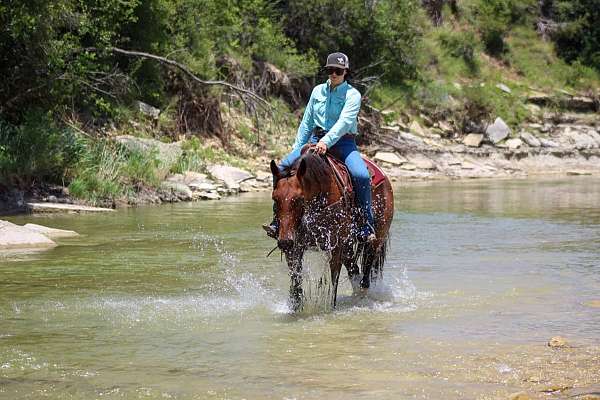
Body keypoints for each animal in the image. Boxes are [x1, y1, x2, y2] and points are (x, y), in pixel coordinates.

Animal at [270, 145, 394, 310]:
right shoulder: (295, 247)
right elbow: (296, 283)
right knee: (354, 271)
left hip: (376, 239)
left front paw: (330, 309)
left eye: (299, 199)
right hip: (348, 247)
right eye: (275, 198)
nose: (284, 242)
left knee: (366, 275)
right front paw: (295, 309)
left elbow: (333, 282)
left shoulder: (335, 247)